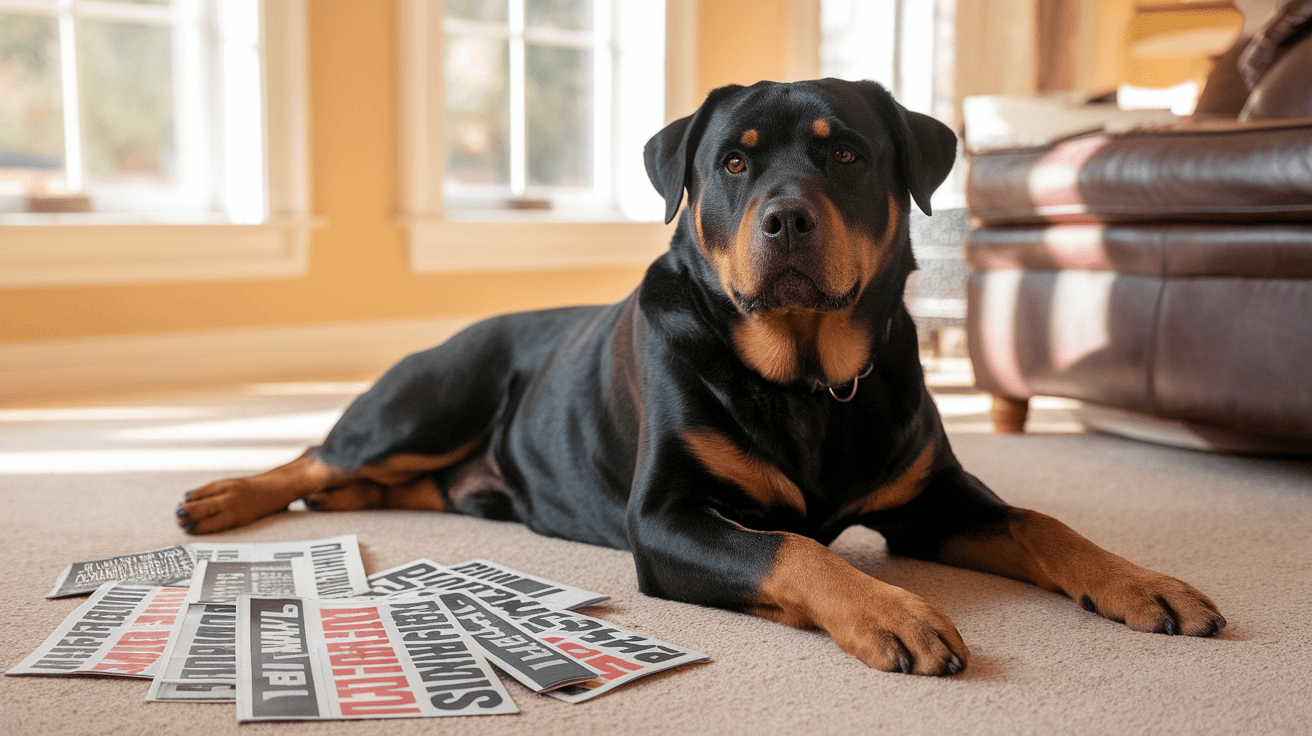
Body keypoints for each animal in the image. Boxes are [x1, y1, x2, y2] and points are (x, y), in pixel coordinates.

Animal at [174, 79, 1217, 671]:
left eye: (846, 152)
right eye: (732, 164)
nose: (787, 218)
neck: (809, 377)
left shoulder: (929, 498)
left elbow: (1043, 522)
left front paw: (1144, 584)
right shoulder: (667, 518)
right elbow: (793, 548)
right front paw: (890, 611)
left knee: (353, 482)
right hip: (430, 399)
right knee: (321, 456)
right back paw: (221, 497)